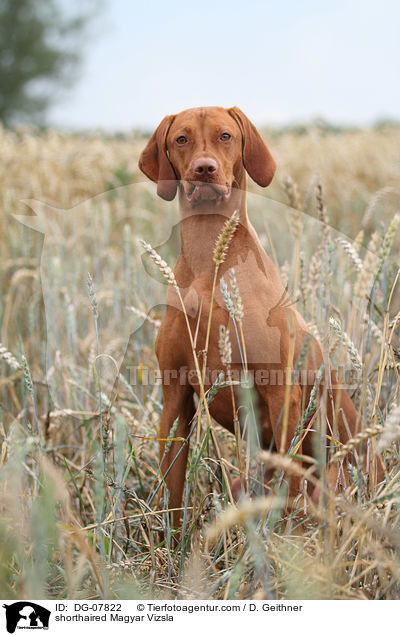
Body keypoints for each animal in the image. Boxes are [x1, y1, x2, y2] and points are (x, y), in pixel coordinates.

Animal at [139, 108, 368, 528]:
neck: (209, 264)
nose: (205, 168)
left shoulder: (281, 393)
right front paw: (171, 541)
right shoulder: (175, 397)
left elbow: (290, 487)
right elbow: (172, 495)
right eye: (181, 138)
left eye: (225, 135)